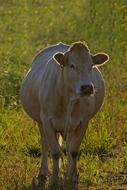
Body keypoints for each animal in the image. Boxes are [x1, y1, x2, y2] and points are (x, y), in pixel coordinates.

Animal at [19, 41, 109, 186]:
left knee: (68, 145)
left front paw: (72, 178)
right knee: (44, 143)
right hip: (40, 122)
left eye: (91, 65)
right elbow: (55, 152)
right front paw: (54, 180)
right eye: (72, 65)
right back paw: (43, 172)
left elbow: (73, 151)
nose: (87, 87)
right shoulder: (46, 120)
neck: (68, 98)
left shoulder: (83, 122)